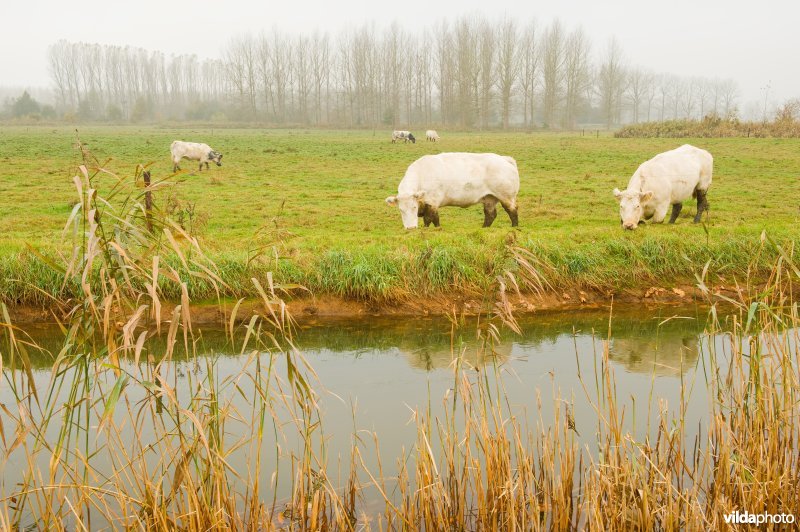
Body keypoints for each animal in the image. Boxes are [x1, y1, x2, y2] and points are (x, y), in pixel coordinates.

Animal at [386, 153, 520, 230]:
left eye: (414, 207)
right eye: (401, 210)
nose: (411, 228)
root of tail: (504, 159)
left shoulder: (432, 201)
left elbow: (428, 219)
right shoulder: (433, 204)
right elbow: (436, 219)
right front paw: (438, 228)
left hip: (506, 197)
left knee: (512, 211)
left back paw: (514, 227)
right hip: (490, 198)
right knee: (490, 215)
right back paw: (484, 228)